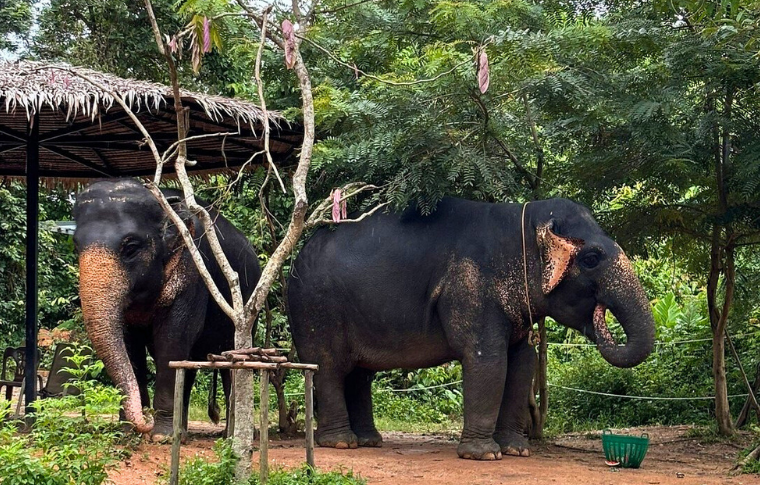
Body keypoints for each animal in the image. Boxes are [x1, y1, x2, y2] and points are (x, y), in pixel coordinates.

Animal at [73, 178, 262, 438]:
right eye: (75, 246)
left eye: (130, 247)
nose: (145, 420)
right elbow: (129, 343)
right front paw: (127, 432)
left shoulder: (194, 270)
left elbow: (173, 338)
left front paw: (161, 435)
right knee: (190, 366)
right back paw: (183, 430)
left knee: (230, 363)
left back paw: (229, 435)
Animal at [288, 196, 656, 458]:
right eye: (591, 258)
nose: (599, 316)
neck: (522, 220)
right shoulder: (471, 287)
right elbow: (488, 359)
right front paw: (484, 455)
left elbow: (521, 364)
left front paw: (516, 451)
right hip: (315, 307)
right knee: (329, 367)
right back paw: (341, 444)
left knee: (360, 374)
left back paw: (369, 441)